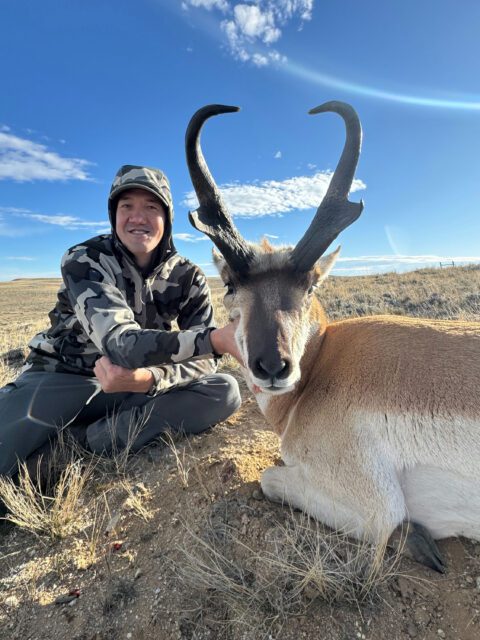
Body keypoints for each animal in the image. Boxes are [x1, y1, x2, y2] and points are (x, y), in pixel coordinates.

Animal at [185, 102, 480, 571]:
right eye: (229, 284)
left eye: (310, 285)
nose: (273, 366)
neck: (324, 364)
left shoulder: (376, 505)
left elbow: (269, 478)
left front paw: (415, 539)